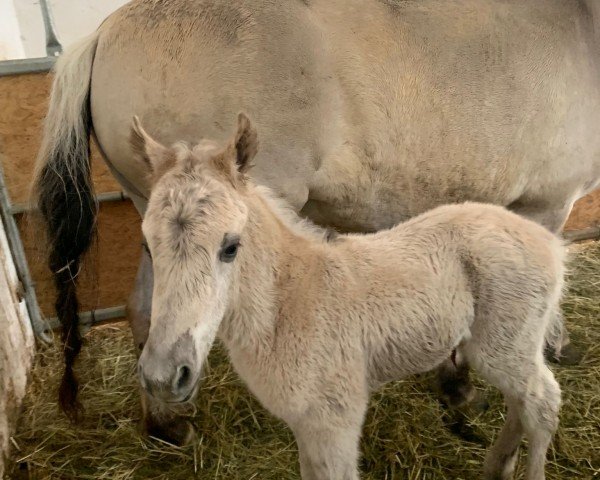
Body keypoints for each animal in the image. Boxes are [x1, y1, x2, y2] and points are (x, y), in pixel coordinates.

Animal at [135, 113, 564, 480]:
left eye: (230, 246)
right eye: (148, 246)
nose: (163, 377)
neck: (288, 301)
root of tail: (551, 244)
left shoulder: (334, 421)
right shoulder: (307, 427)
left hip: (503, 347)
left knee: (543, 401)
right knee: (522, 400)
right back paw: (497, 466)